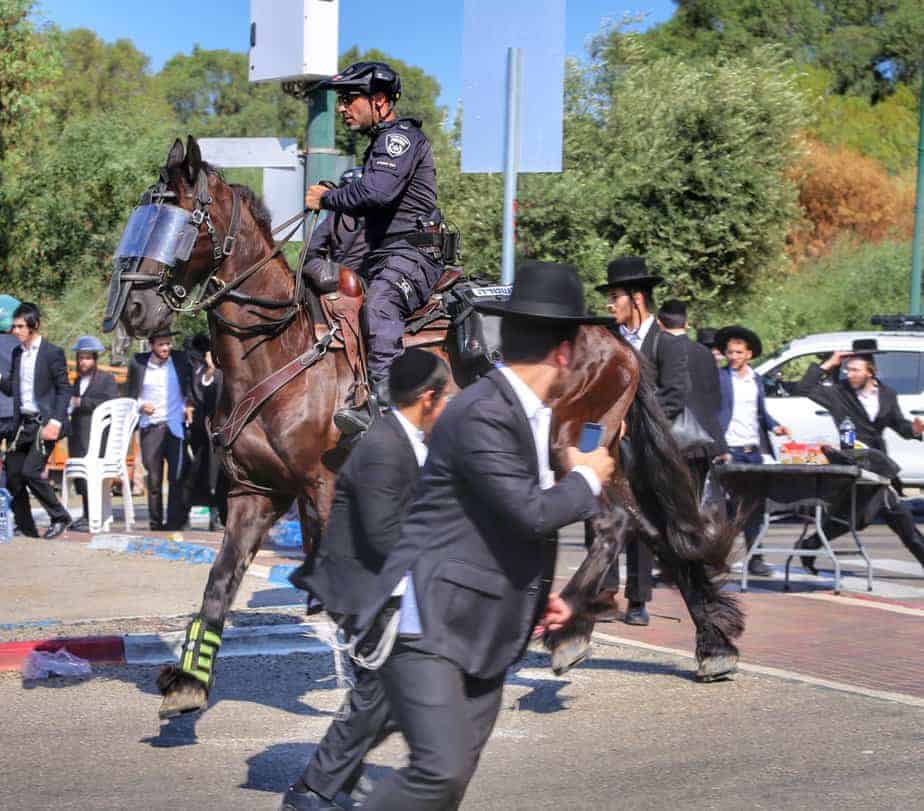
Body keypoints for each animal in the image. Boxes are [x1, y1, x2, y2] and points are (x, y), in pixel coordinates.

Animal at [110, 136, 744, 720]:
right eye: (141, 222)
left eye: (177, 221)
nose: (134, 311)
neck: (282, 347)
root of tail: (617, 340)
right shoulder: (255, 494)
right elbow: (218, 584)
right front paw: (189, 683)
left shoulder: (325, 491)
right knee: (653, 529)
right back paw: (697, 642)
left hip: (571, 449)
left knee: (614, 525)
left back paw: (569, 629)